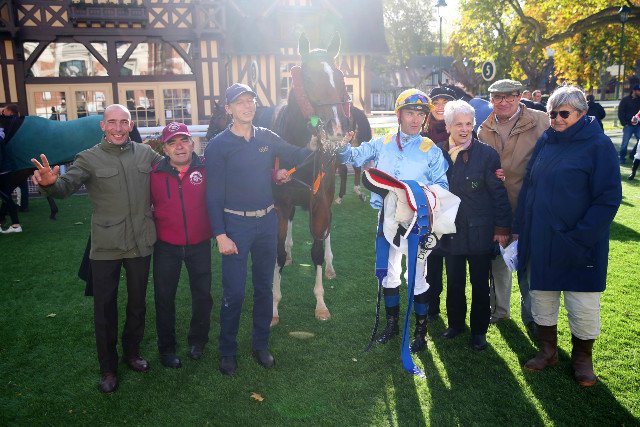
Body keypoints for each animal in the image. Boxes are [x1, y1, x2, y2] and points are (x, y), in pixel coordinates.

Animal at [270, 32, 351, 326]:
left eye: (339, 77)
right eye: (307, 78)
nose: (337, 129)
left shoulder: (320, 202)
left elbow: (316, 248)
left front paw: (320, 303)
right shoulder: (281, 204)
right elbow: (278, 251)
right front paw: (274, 305)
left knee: (325, 234)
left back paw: (329, 265)